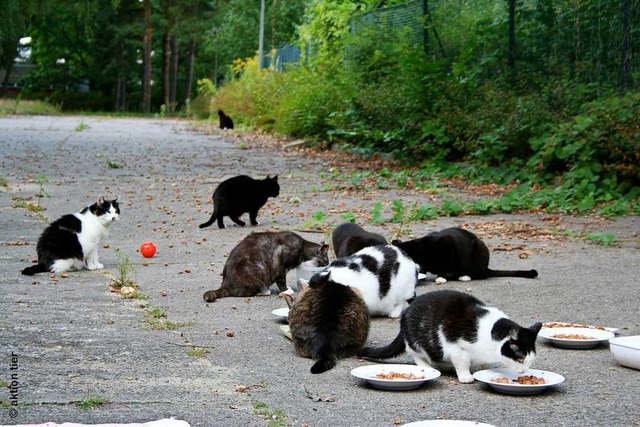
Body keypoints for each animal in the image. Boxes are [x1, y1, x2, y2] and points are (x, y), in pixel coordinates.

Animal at [358, 290, 544, 384]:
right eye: (520, 359)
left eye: (529, 361)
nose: (524, 371)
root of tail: (406, 311)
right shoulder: (455, 346)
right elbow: (462, 362)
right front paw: (466, 376)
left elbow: (484, 364)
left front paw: (482, 370)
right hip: (417, 340)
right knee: (415, 353)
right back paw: (429, 366)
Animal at [392, 227, 536, 284]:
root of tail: (487, 268)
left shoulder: (448, 245)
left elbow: (448, 268)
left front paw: (442, 277)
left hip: (479, 247)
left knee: (481, 275)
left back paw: (464, 276)